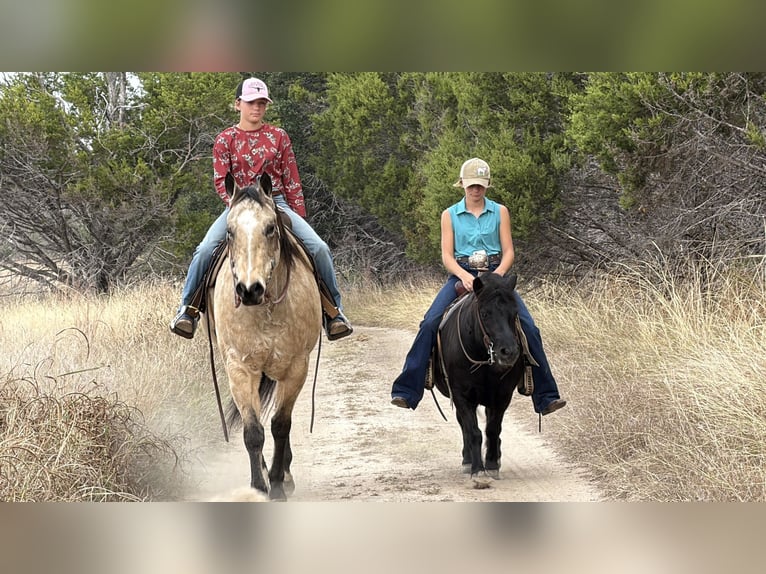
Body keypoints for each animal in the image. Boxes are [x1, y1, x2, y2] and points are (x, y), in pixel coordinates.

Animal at [206, 171, 322, 501]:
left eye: (270, 228)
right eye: (229, 231)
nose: (249, 290)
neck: (265, 308)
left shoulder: (296, 367)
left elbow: (280, 425)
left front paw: (278, 485)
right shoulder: (240, 368)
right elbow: (253, 432)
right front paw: (259, 487)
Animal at [430, 272, 524, 480]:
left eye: (515, 313)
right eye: (485, 313)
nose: (509, 352)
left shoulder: (502, 395)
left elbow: (492, 429)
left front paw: (491, 464)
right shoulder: (461, 395)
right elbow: (473, 431)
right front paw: (477, 470)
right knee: (464, 425)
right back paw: (467, 460)